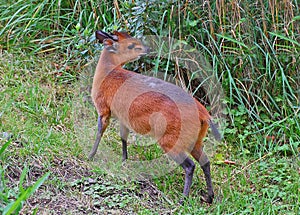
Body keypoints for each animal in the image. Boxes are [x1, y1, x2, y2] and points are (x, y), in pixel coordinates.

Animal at [88, 29, 220, 203]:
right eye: (131, 44)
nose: (148, 49)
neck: (108, 74)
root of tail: (204, 114)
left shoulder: (103, 109)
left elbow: (99, 132)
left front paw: (90, 156)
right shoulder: (123, 117)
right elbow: (123, 137)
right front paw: (123, 160)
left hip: (170, 139)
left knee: (190, 165)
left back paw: (182, 199)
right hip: (195, 140)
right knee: (205, 162)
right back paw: (209, 197)